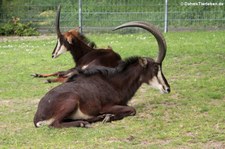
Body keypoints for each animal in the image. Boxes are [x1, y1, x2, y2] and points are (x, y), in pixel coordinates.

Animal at [33, 21, 171, 128]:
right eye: (155, 68)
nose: (167, 88)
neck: (115, 82)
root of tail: (37, 117)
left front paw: (107, 117)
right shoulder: (106, 106)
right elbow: (133, 110)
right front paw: (109, 117)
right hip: (71, 101)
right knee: (55, 123)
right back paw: (84, 123)